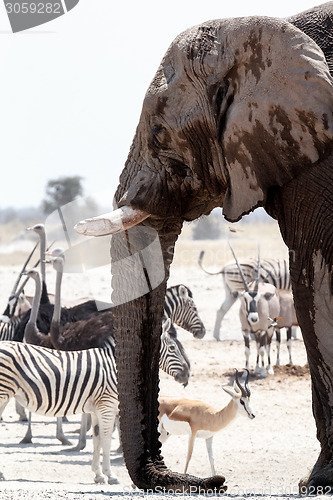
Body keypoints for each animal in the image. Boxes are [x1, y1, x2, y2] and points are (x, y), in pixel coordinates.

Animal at [0, 340, 118, 484]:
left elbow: (97, 440)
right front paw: (110, 475)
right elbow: (106, 440)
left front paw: (98, 474)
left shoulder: (97, 409)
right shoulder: (107, 405)